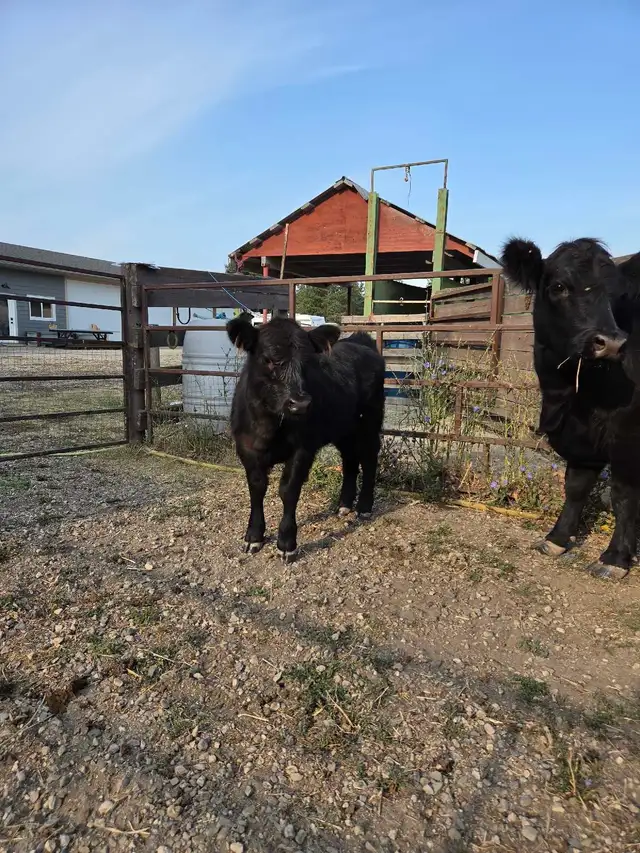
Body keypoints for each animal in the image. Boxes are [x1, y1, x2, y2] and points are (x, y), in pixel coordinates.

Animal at [226, 313, 386, 563]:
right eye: (268, 359)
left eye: (310, 361)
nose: (300, 404)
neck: (269, 426)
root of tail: (360, 341)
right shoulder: (247, 448)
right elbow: (257, 488)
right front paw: (254, 536)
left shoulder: (303, 449)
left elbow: (288, 490)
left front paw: (286, 543)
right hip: (344, 427)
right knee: (349, 460)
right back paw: (344, 504)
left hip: (369, 422)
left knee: (369, 459)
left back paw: (364, 507)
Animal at [501, 236, 640, 580]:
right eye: (559, 286)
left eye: (619, 293)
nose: (613, 343)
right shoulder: (580, 438)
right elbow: (576, 486)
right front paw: (557, 538)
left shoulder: (628, 434)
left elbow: (624, 493)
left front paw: (615, 557)